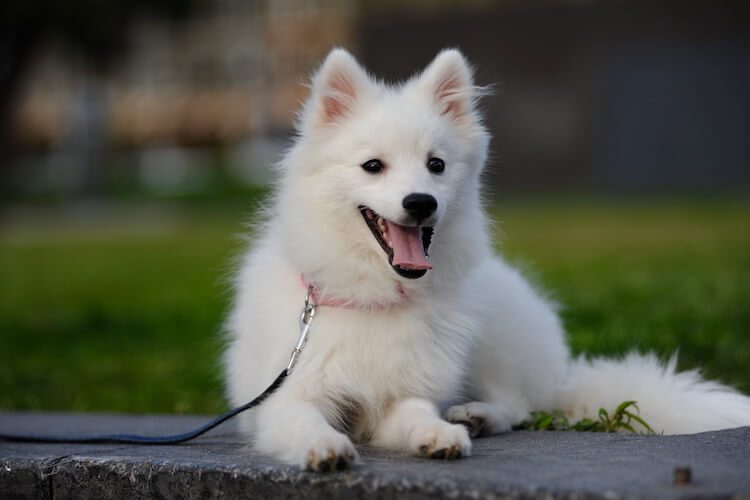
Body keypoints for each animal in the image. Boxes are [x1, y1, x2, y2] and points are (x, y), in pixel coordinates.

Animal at [223, 48, 750, 470]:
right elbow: (305, 422)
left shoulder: (404, 395)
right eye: (373, 166)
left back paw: (474, 415)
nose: (421, 202)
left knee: (517, 404)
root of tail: (562, 375)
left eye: (436, 165)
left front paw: (438, 433)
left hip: (494, 337)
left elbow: (416, 412)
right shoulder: (285, 398)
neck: (375, 294)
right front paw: (326, 447)